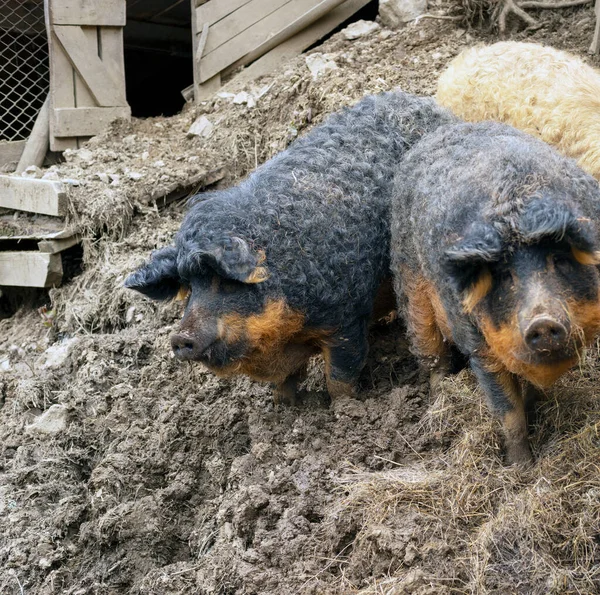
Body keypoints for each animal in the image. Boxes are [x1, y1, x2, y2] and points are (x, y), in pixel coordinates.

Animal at [125, 89, 454, 406]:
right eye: (189, 288)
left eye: (226, 282)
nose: (180, 337)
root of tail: (422, 102)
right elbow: (285, 383)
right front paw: (285, 409)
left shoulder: (345, 317)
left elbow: (340, 377)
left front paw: (343, 409)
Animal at [392, 122, 600, 466]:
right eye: (504, 275)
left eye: (559, 260)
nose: (542, 321)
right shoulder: (480, 349)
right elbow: (509, 414)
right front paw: (521, 467)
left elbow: (529, 394)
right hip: (409, 282)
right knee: (431, 353)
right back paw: (438, 399)